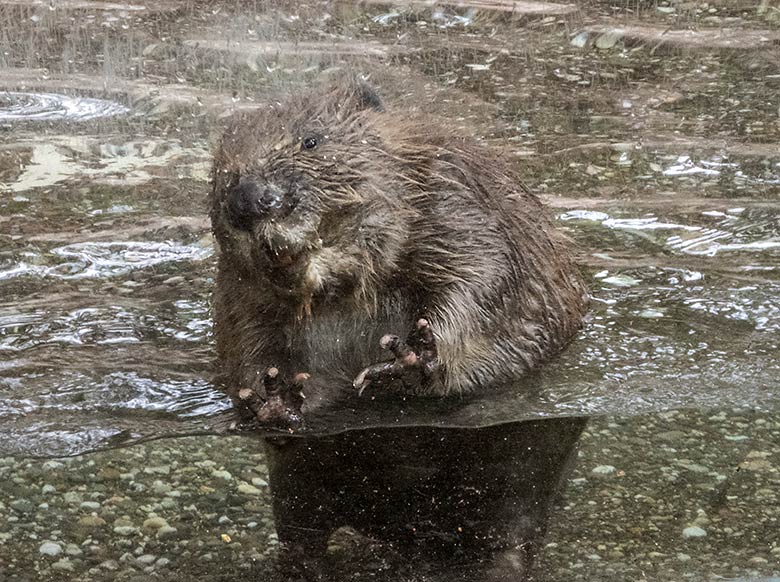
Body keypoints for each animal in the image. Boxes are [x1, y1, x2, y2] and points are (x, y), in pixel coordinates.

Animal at [210, 76, 588, 580]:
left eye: (311, 140)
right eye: (222, 173)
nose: (249, 199)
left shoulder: (455, 199)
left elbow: (480, 279)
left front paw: (409, 356)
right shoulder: (237, 288)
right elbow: (246, 339)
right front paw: (271, 398)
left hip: (525, 477)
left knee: (509, 540)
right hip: (296, 488)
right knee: (303, 533)